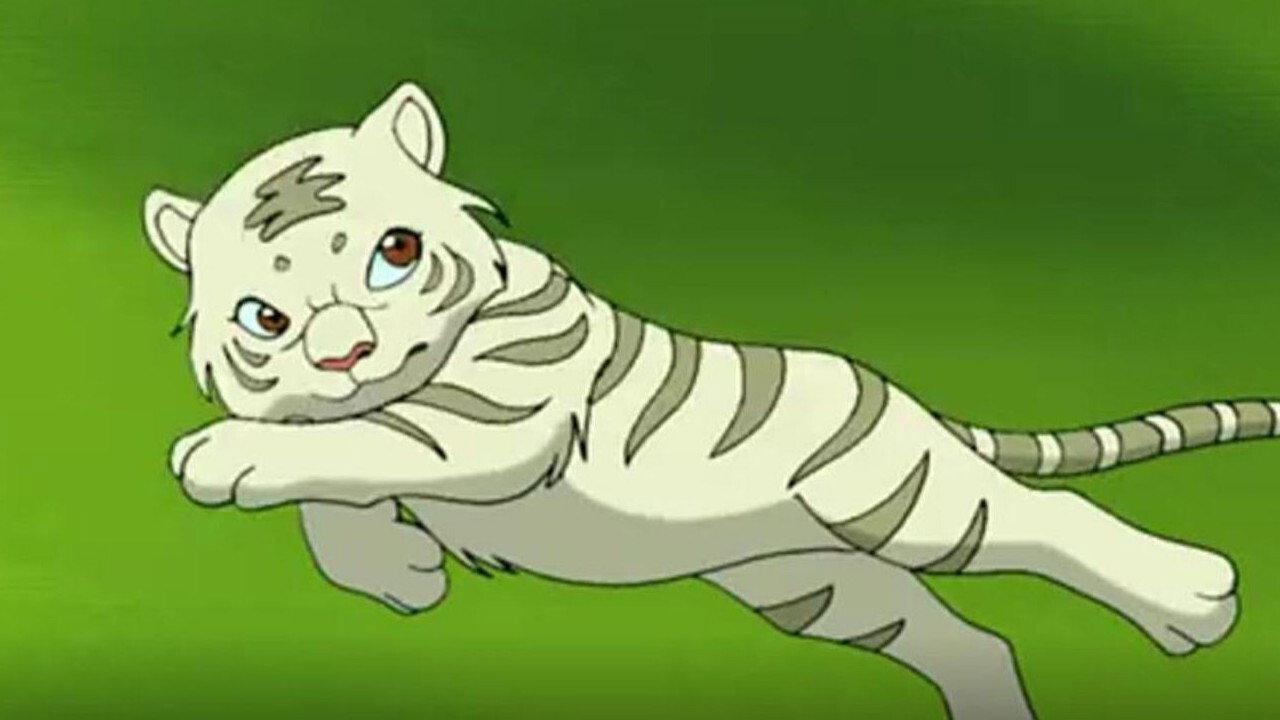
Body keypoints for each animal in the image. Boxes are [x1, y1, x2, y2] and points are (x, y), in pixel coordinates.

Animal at [144, 82, 1247, 720]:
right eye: (264, 318)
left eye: (395, 253)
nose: (345, 352)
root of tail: (896, 392)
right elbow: (334, 488)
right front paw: (398, 573)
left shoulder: (488, 428)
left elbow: (366, 441)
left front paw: (223, 456)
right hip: (819, 587)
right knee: (971, 640)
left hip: (905, 501)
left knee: (1045, 517)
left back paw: (1191, 598)